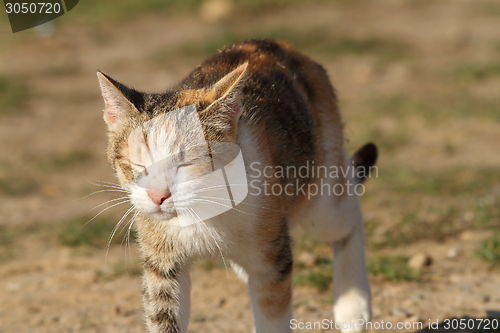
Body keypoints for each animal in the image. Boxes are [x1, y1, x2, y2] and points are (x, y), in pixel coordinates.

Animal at [97, 39, 376, 332]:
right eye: (137, 163)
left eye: (187, 163)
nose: (157, 195)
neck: (201, 211)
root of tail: (273, 42)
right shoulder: (161, 266)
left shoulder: (270, 260)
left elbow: (272, 316)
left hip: (318, 195)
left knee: (347, 213)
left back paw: (353, 306)